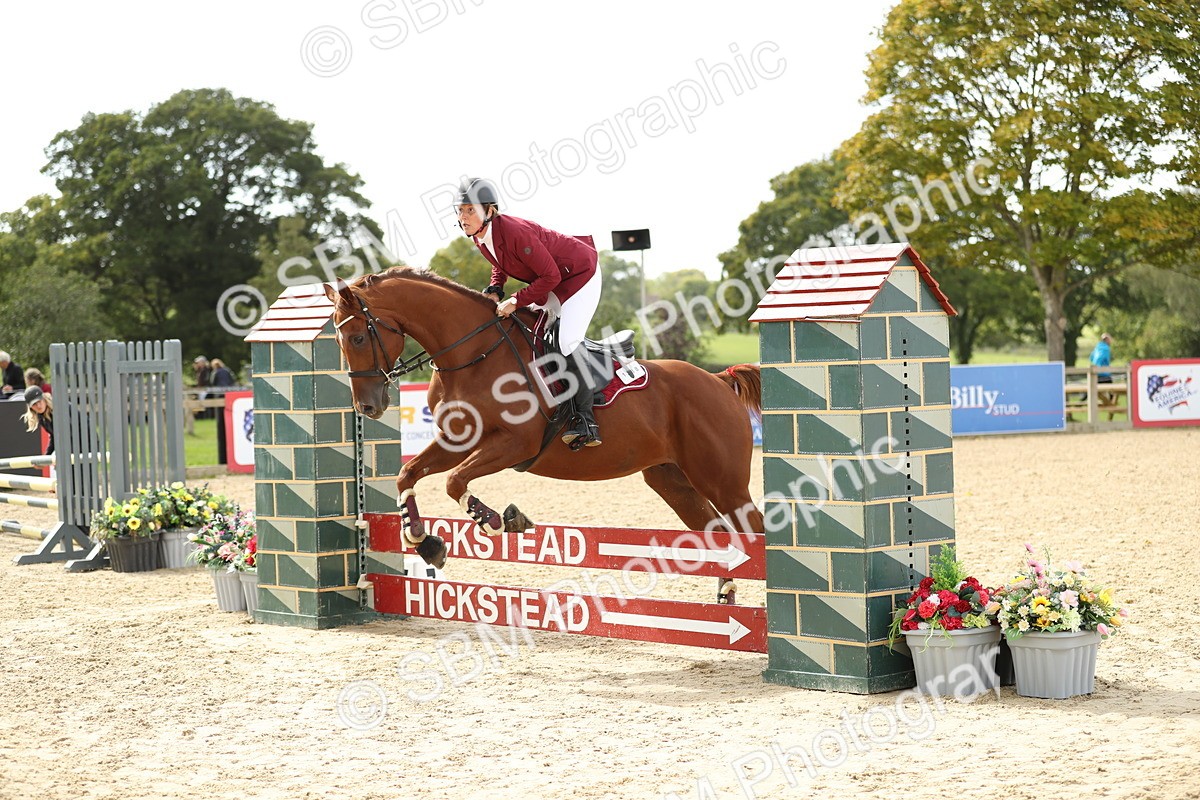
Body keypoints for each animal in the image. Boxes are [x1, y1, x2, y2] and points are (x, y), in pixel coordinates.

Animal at [323, 268, 763, 602]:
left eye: (359, 337)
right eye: (338, 341)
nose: (367, 408)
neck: (473, 355)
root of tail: (718, 381)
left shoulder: (515, 444)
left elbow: (454, 481)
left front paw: (498, 520)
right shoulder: (458, 441)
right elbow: (409, 474)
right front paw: (425, 541)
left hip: (722, 481)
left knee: (754, 527)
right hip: (672, 481)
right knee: (718, 532)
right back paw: (726, 593)